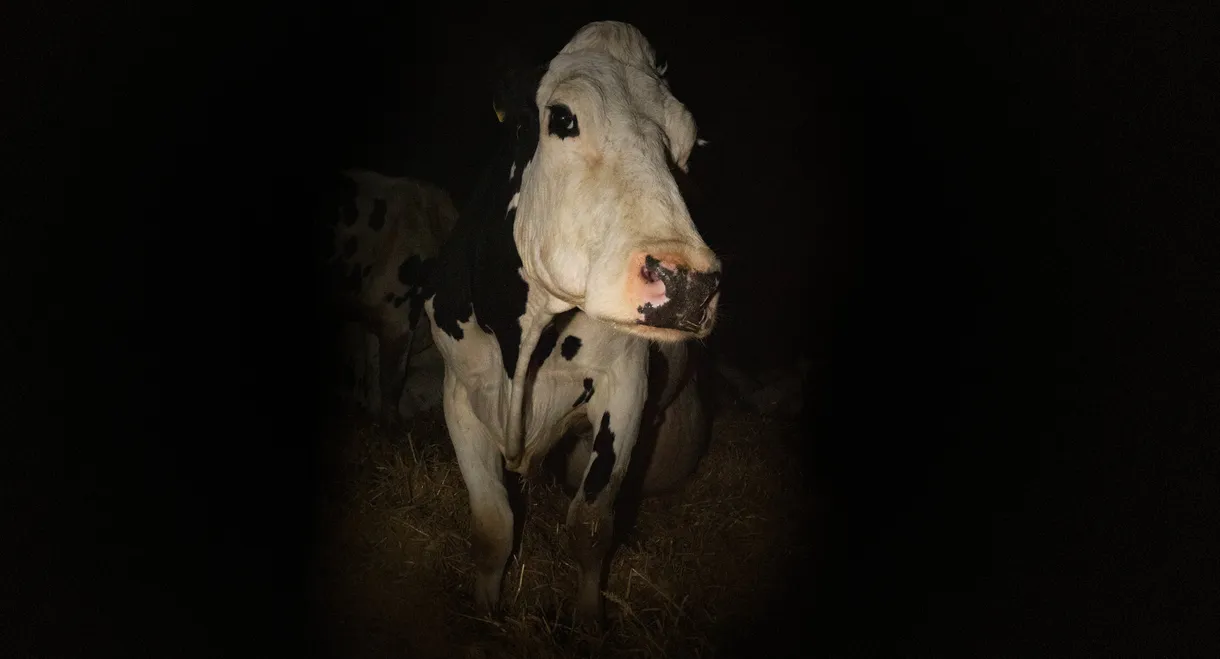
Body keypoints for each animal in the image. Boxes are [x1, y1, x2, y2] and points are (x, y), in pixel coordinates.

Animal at [423, 21, 721, 627]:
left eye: (687, 145)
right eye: (563, 118)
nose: (689, 283)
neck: (522, 344)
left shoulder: (625, 386)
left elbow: (589, 524)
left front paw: (587, 623)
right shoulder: (458, 390)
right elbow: (492, 526)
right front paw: (486, 612)